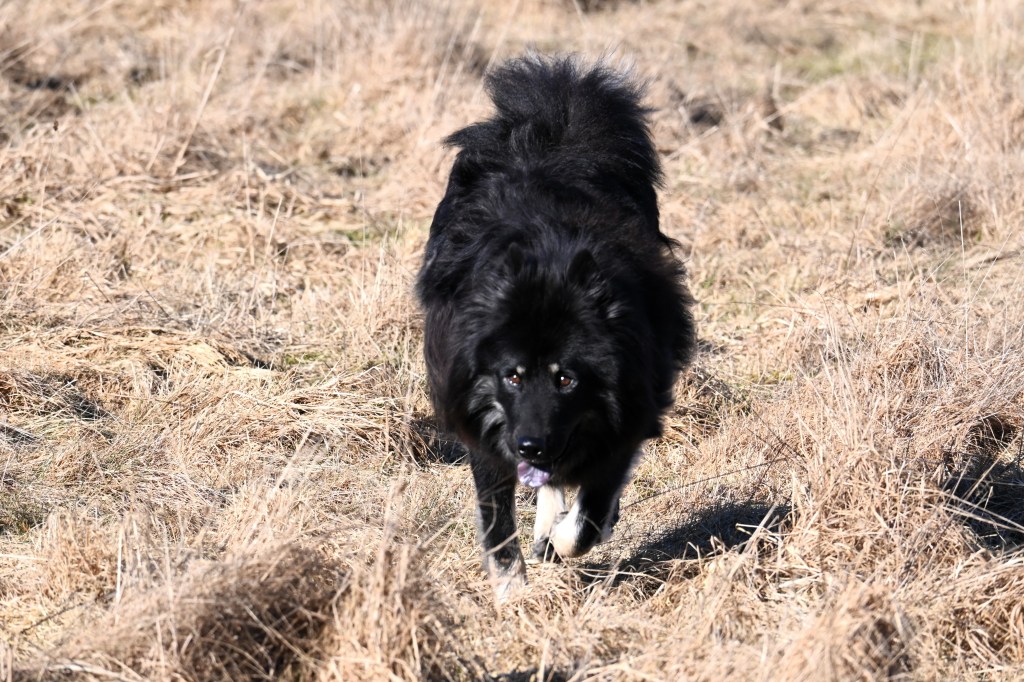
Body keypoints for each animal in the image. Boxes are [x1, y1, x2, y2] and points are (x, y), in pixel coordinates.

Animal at [417, 55, 696, 599]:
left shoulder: (625, 411)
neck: (548, 266)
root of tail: (553, 130)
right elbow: (498, 521)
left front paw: (564, 539)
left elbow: (590, 514)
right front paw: (512, 595)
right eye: (512, 376)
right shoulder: (486, 418)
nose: (530, 445)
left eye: (567, 378)